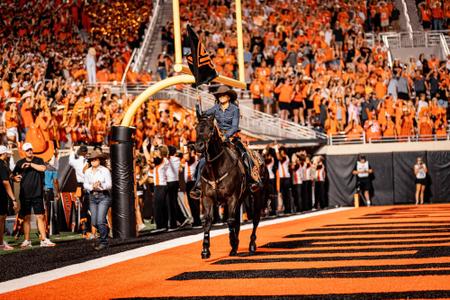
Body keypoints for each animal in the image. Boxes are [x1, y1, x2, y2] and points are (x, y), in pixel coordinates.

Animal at [194, 113, 268, 258]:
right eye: (196, 128)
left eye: (211, 128)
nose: (198, 146)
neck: (215, 169)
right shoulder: (207, 198)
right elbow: (208, 221)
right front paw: (205, 249)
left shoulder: (231, 198)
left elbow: (230, 220)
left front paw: (233, 242)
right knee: (238, 221)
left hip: (256, 196)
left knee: (255, 219)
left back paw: (251, 244)